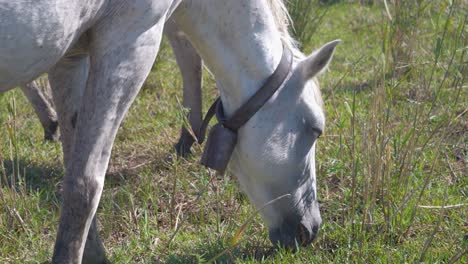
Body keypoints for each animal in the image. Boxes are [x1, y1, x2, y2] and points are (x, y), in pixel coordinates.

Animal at [0, 1, 336, 262]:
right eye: (315, 128)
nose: (311, 227)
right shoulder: (132, 42)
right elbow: (87, 185)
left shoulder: (71, 57)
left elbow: (74, 173)